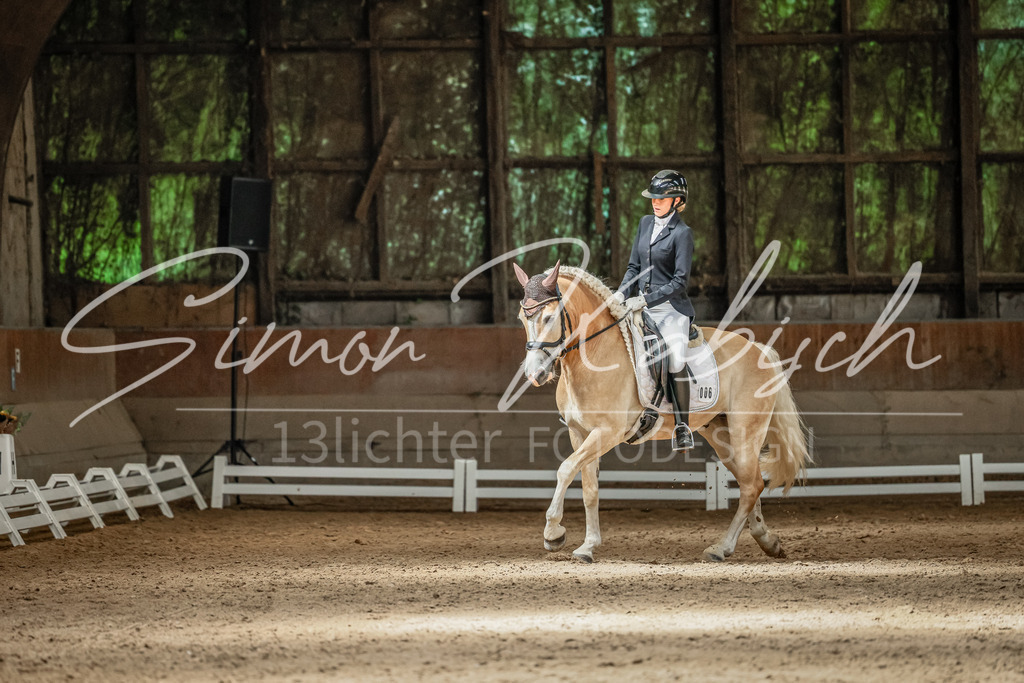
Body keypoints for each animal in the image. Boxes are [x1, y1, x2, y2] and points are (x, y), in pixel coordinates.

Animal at [512, 261, 811, 563]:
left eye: (549, 318)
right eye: (522, 318)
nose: (534, 374)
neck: (595, 354)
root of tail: (759, 349)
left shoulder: (606, 433)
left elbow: (565, 469)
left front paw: (553, 534)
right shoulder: (580, 432)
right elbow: (589, 488)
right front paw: (588, 546)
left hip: (746, 432)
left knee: (751, 486)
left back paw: (721, 548)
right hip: (721, 435)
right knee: (752, 481)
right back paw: (766, 540)